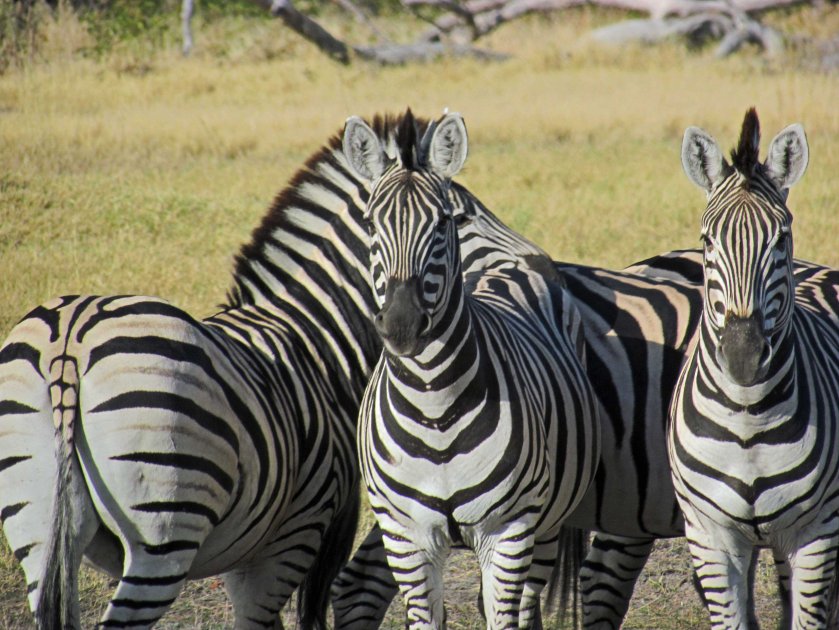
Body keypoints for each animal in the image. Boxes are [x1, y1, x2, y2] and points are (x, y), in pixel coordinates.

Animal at [342, 111, 601, 628]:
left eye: (443, 223)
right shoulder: (406, 538)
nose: (401, 325)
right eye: (371, 223)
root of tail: (509, 261)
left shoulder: (509, 531)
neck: (434, 405)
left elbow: (504, 616)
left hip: (546, 525)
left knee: (525, 606)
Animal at [668, 108, 839, 629]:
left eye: (780, 238)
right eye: (707, 240)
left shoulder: (816, 533)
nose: (742, 356)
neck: (748, 418)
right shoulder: (710, 536)